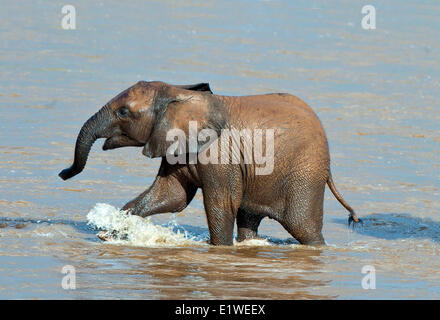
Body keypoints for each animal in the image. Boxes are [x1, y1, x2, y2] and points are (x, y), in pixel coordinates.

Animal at [58, 80, 360, 245]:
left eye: (123, 112)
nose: (62, 173)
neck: (177, 93)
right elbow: (171, 196)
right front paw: (114, 230)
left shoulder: (220, 155)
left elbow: (220, 204)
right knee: (249, 218)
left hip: (304, 172)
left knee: (303, 227)